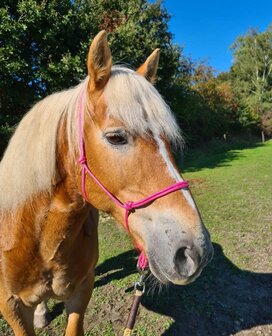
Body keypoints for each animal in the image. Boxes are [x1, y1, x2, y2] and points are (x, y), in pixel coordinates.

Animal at [0, 30, 212, 334]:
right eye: (116, 137)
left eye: (168, 139)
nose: (195, 251)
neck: (36, 235)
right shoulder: (11, 307)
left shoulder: (81, 291)